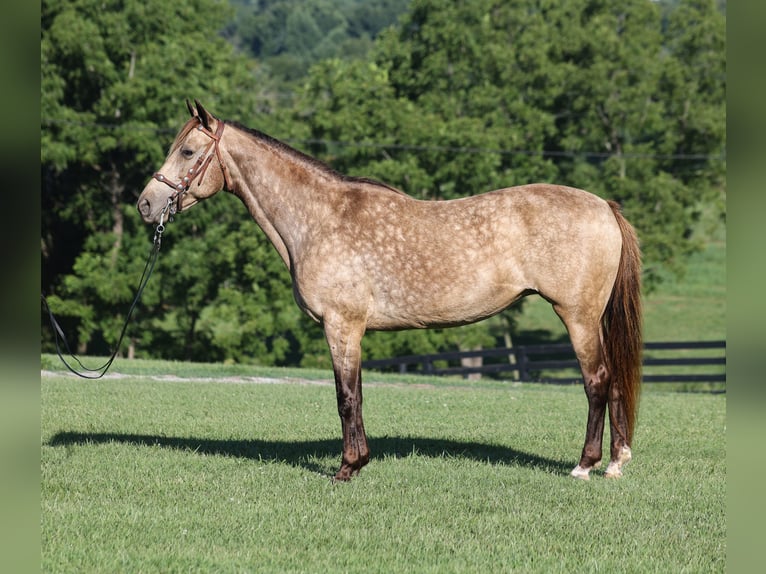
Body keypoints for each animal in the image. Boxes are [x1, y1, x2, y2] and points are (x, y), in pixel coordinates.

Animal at [138, 100, 642, 481]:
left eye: (187, 151)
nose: (145, 204)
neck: (321, 217)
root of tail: (604, 206)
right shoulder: (352, 329)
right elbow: (357, 394)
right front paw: (360, 461)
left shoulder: (341, 325)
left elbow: (345, 397)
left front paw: (347, 468)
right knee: (615, 381)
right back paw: (616, 463)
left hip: (576, 316)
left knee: (597, 381)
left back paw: (585, 465)